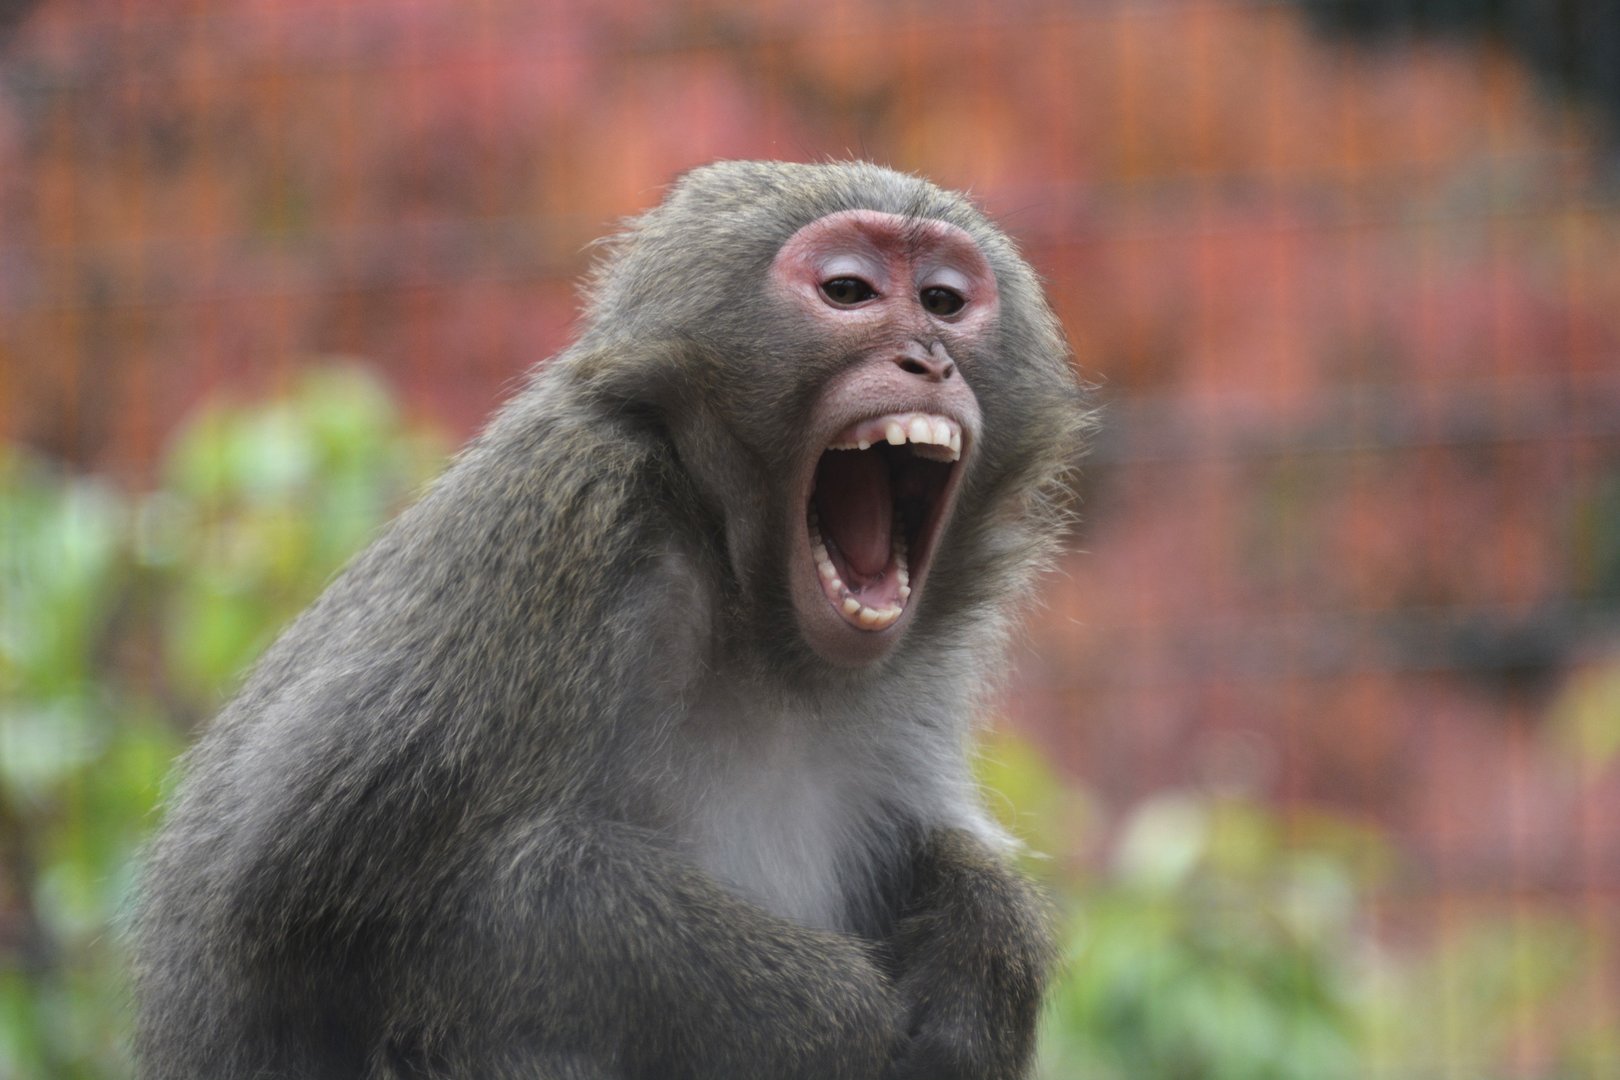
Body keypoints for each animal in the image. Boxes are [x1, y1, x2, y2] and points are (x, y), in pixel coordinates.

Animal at [131, 160, 1091, 1080]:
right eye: (850, 292)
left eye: (943, 302)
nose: (929, 359)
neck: (765, 635)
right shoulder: (564, 517)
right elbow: (310, 896)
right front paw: (816, 1006)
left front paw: (985, 940)